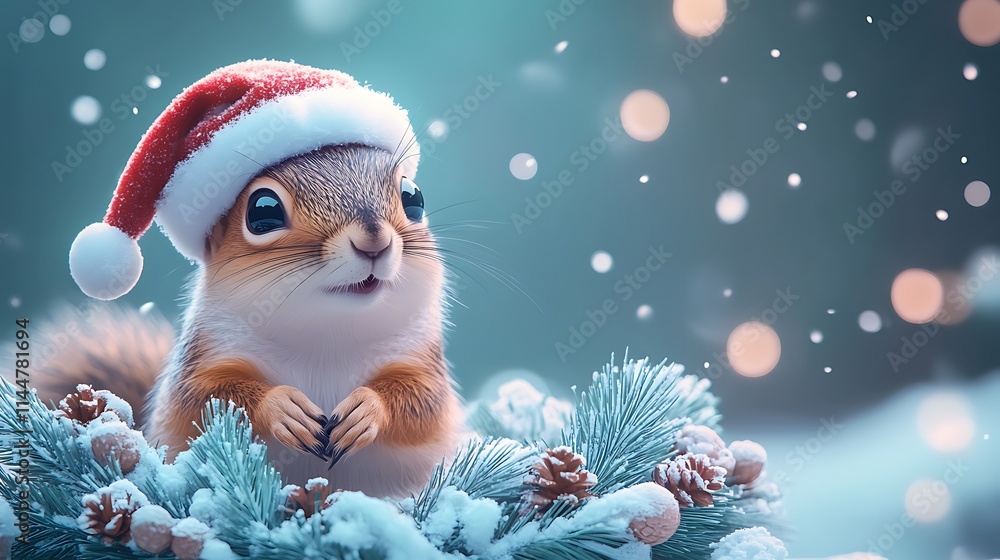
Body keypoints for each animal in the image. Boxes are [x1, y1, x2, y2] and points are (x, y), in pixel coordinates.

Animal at [34, 61, 462, 497]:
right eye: (263, 211)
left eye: (414, 197)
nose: (374, 241)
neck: (327, 334)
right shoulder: (204, 359)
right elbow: (206, 400)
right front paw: (281, 407)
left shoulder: (421, 359)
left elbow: (423, 403)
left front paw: (366, 409)